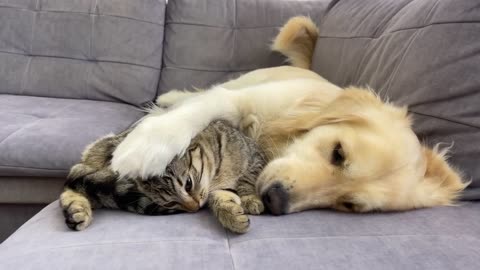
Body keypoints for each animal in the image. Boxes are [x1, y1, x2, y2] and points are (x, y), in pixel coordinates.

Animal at [60, 119, 266, 233]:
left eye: (188, 184)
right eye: (171, 203)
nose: (194, 208)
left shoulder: (256, 156)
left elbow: (245, 180)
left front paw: (246, 201)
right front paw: (232, 215)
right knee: (75, 179)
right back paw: (76, 209)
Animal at [110, 16, 466, 215]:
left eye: (348, 204)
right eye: (338, 153)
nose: (276, 201)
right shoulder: (241, 100)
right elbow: (201, 107)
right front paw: (149, 144)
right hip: (249, 79)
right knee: (204, 91)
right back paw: (170, 97)